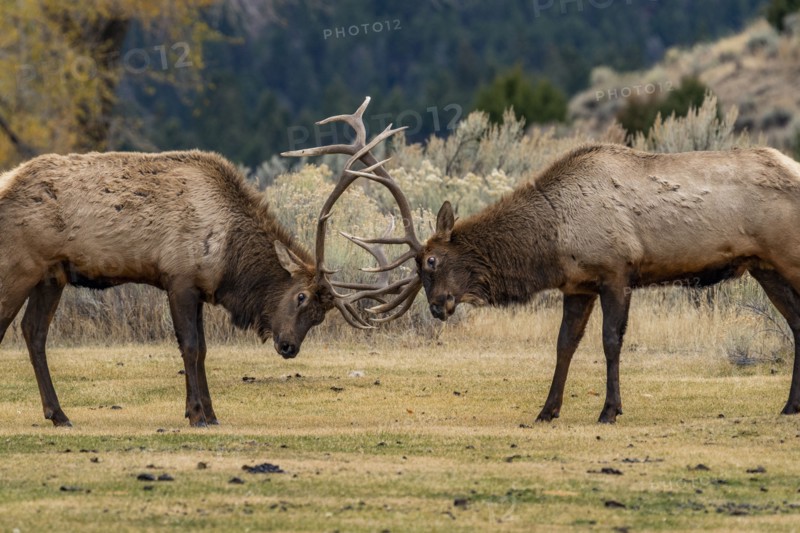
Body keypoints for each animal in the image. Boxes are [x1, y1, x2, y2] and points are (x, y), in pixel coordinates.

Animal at [0, 126, 395, 427]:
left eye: (319, 317)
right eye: (301, 296)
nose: (289, 347)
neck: (229, 258)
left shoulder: (200, 289)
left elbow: (203, 349)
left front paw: (211, 414)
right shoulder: (180, 279)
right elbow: (191, 347)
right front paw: (196, 415)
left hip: (51, 275)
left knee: (33, 332)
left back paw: (59, 415)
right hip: (19, 265)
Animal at [295, 97, 800, 424]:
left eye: (432, 262)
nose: (437, 308)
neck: (552, 241)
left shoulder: (617, 270)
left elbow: (610, 342)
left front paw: (609, 410)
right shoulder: (577, 284)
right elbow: (564, 344)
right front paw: (547, 410)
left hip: (786, 256)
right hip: (765, 267)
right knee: (796, 323)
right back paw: (789, 405)